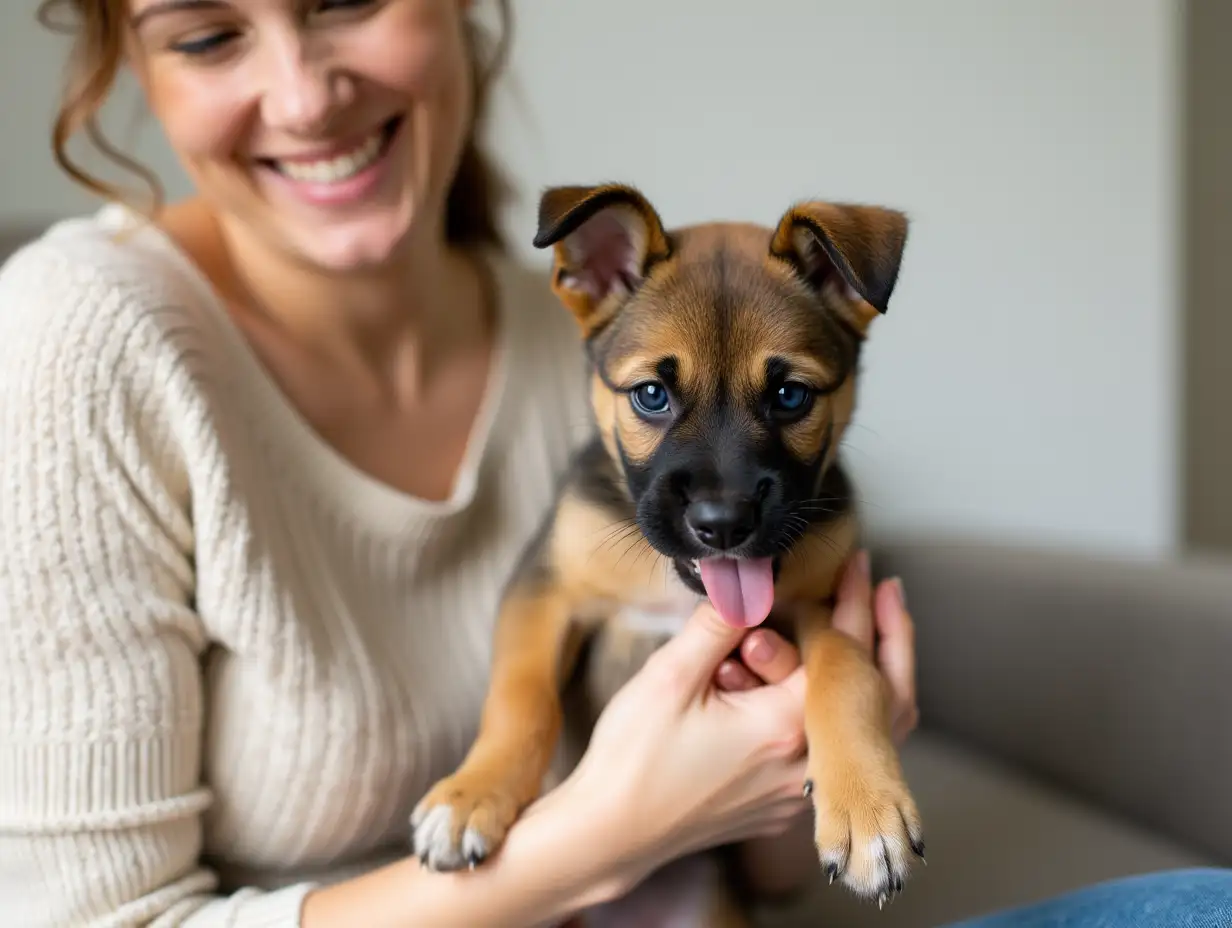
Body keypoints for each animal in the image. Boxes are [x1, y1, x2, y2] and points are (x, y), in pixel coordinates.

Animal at [413, 181, 926, 921]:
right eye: (651, 395)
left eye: (790, 395)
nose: (722, 524)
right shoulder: (545, 589)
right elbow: (520, 694)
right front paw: (471, 795)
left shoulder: (828, 598)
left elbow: (847, 671)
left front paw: (866, 807)